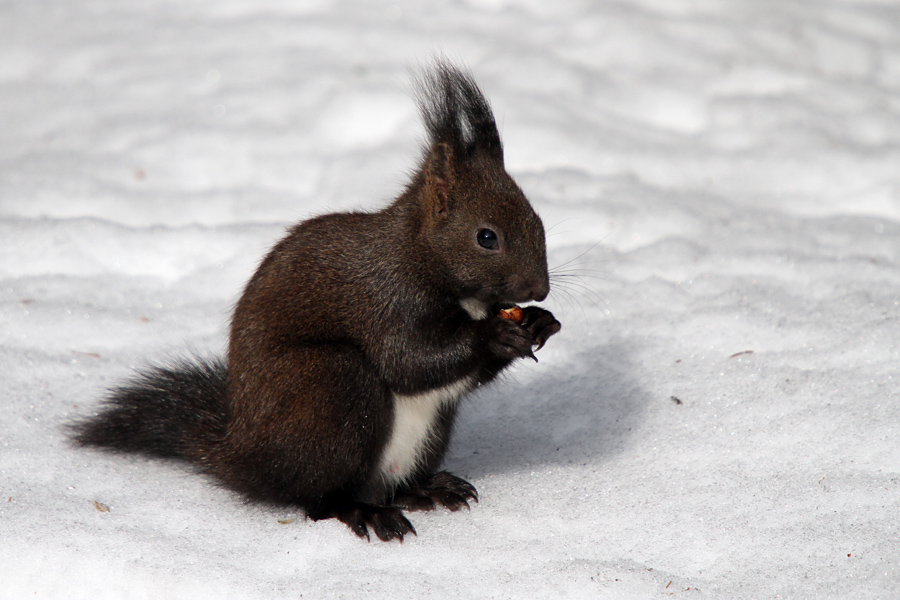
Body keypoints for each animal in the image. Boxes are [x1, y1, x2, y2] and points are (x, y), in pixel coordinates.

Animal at [74, 59, 560, 540]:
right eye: (486, 237)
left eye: (538, 220)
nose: (539, 290)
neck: (424, 259)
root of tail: (243, 455)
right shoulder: (386, 300)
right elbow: (408, 360)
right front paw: (494, 334)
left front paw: (539, 322)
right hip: (330, 387)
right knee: (318, 499)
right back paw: (365, 512)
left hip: (428, 430)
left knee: (392, 483)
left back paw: (425, 489)